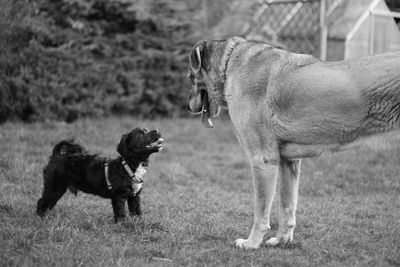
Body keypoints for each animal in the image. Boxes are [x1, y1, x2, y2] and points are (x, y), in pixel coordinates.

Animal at [187, 36, 400, 250]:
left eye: (190, 77)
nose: (188, 106)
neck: (229, 61)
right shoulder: (288, 163)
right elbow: (287, 206)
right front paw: (282, 240)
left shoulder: (262, 161)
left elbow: (261, 212)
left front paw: (251, 243)